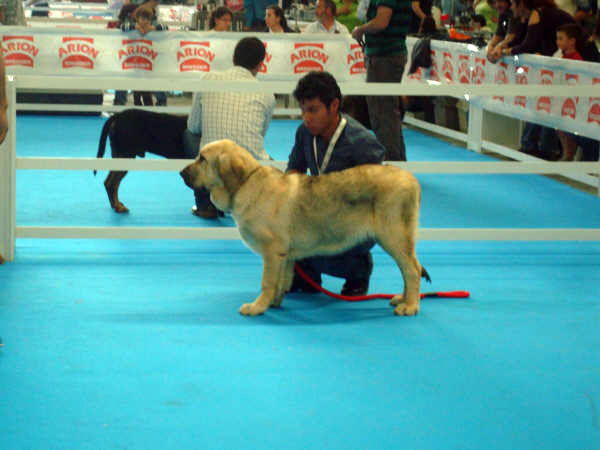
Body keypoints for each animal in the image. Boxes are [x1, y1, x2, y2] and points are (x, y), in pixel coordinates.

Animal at [182, 139, 426, 314]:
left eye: (202, 159)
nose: (182, 172)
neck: (246, 183)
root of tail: (412, 179)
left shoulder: (272, 252)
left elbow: (267, 282)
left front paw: (257, 307)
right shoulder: (284, 255)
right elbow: (281, 281)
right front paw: (274, 303)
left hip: (394, 237)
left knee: (412, 270)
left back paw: (410, 306)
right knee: (409, 270)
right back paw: (402, 299)